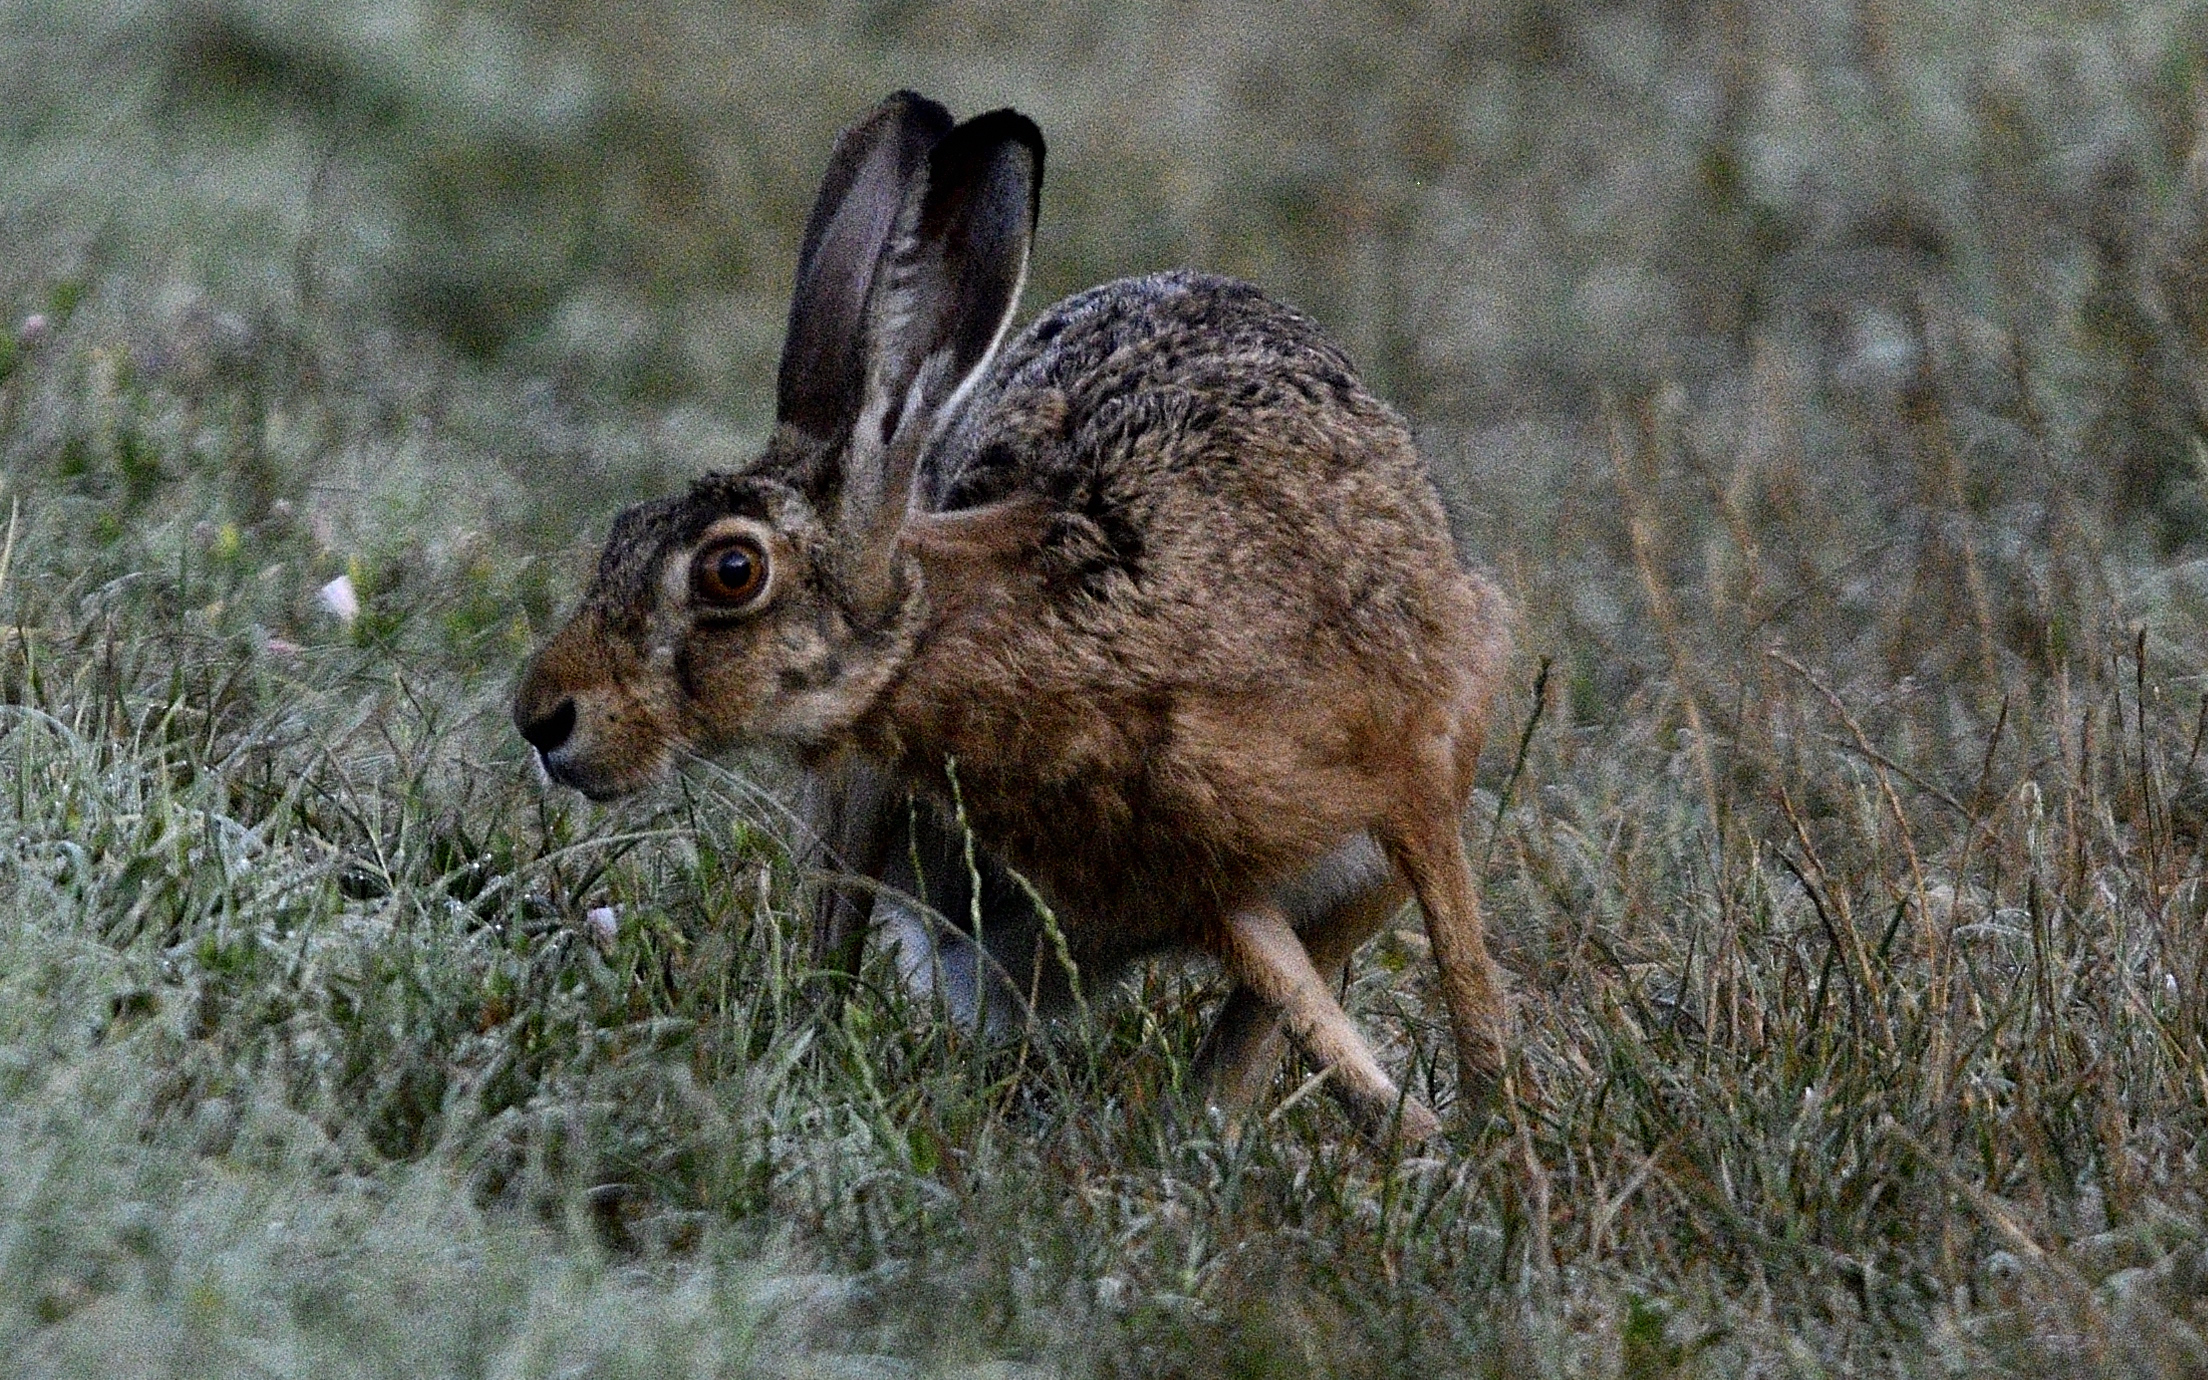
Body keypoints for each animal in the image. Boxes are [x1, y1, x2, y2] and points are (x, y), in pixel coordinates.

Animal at [513, 91, 1515, 1141]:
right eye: (623, 529)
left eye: (731, 570)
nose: (543, 718)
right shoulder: (1198, 876)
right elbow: (1299, 1001)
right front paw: (1431, 1135)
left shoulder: (1411, 779)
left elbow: (1457, 967)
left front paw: (1488, 1135)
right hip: (862, 804)